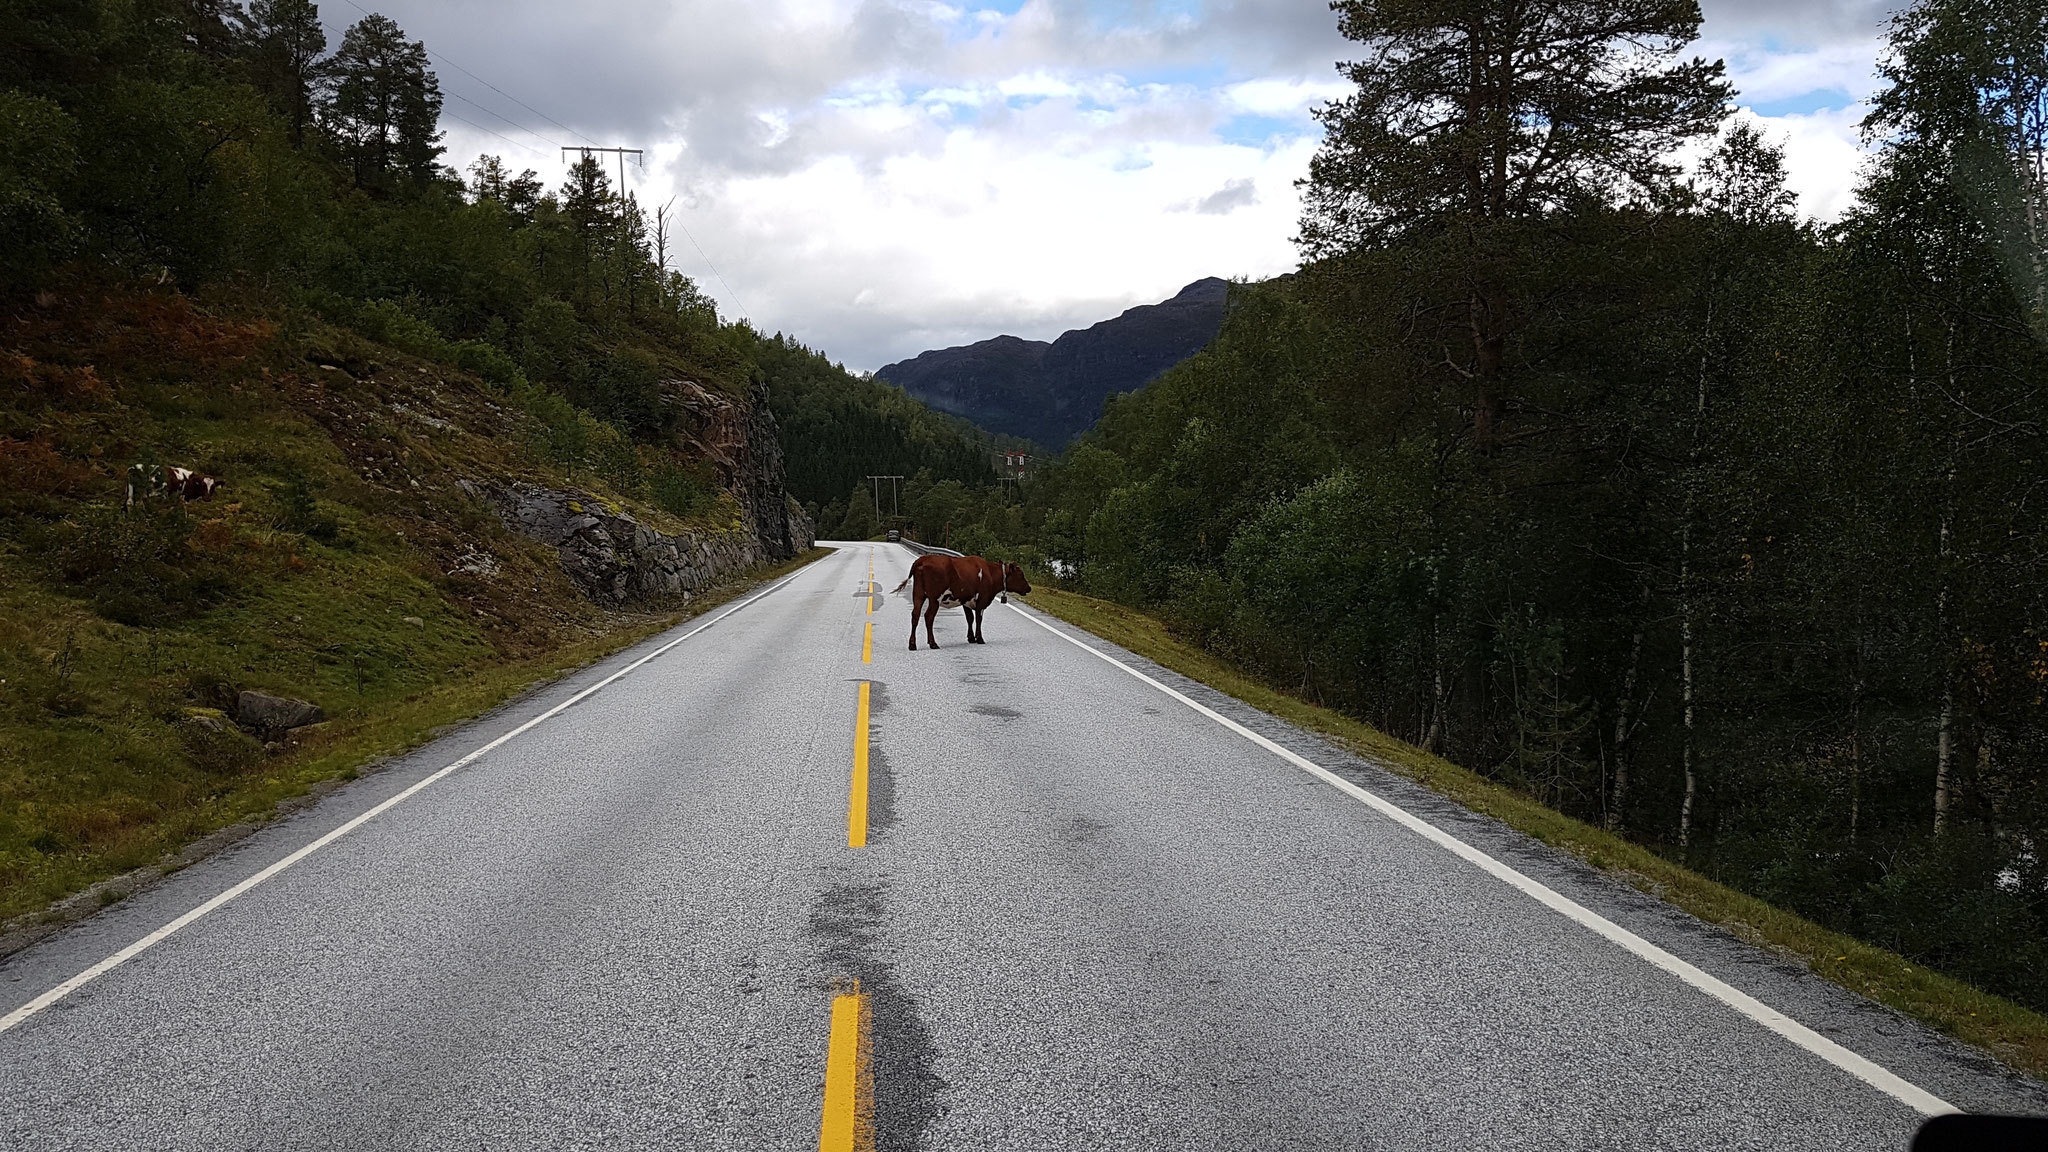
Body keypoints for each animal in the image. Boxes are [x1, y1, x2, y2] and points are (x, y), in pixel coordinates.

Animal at [892, 553, 1032, 651]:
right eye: (1021, 575)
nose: (1029, 588)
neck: (990, 573)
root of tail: (923, 558)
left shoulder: (966, 601)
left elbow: (970, 618)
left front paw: (971, 638)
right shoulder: (982, 599)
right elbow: (978, 619)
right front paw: (979, 638)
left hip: (918, 594)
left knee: (915, 615)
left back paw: (912, 644)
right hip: (934, 598)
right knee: (928, 617)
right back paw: (933, 643)